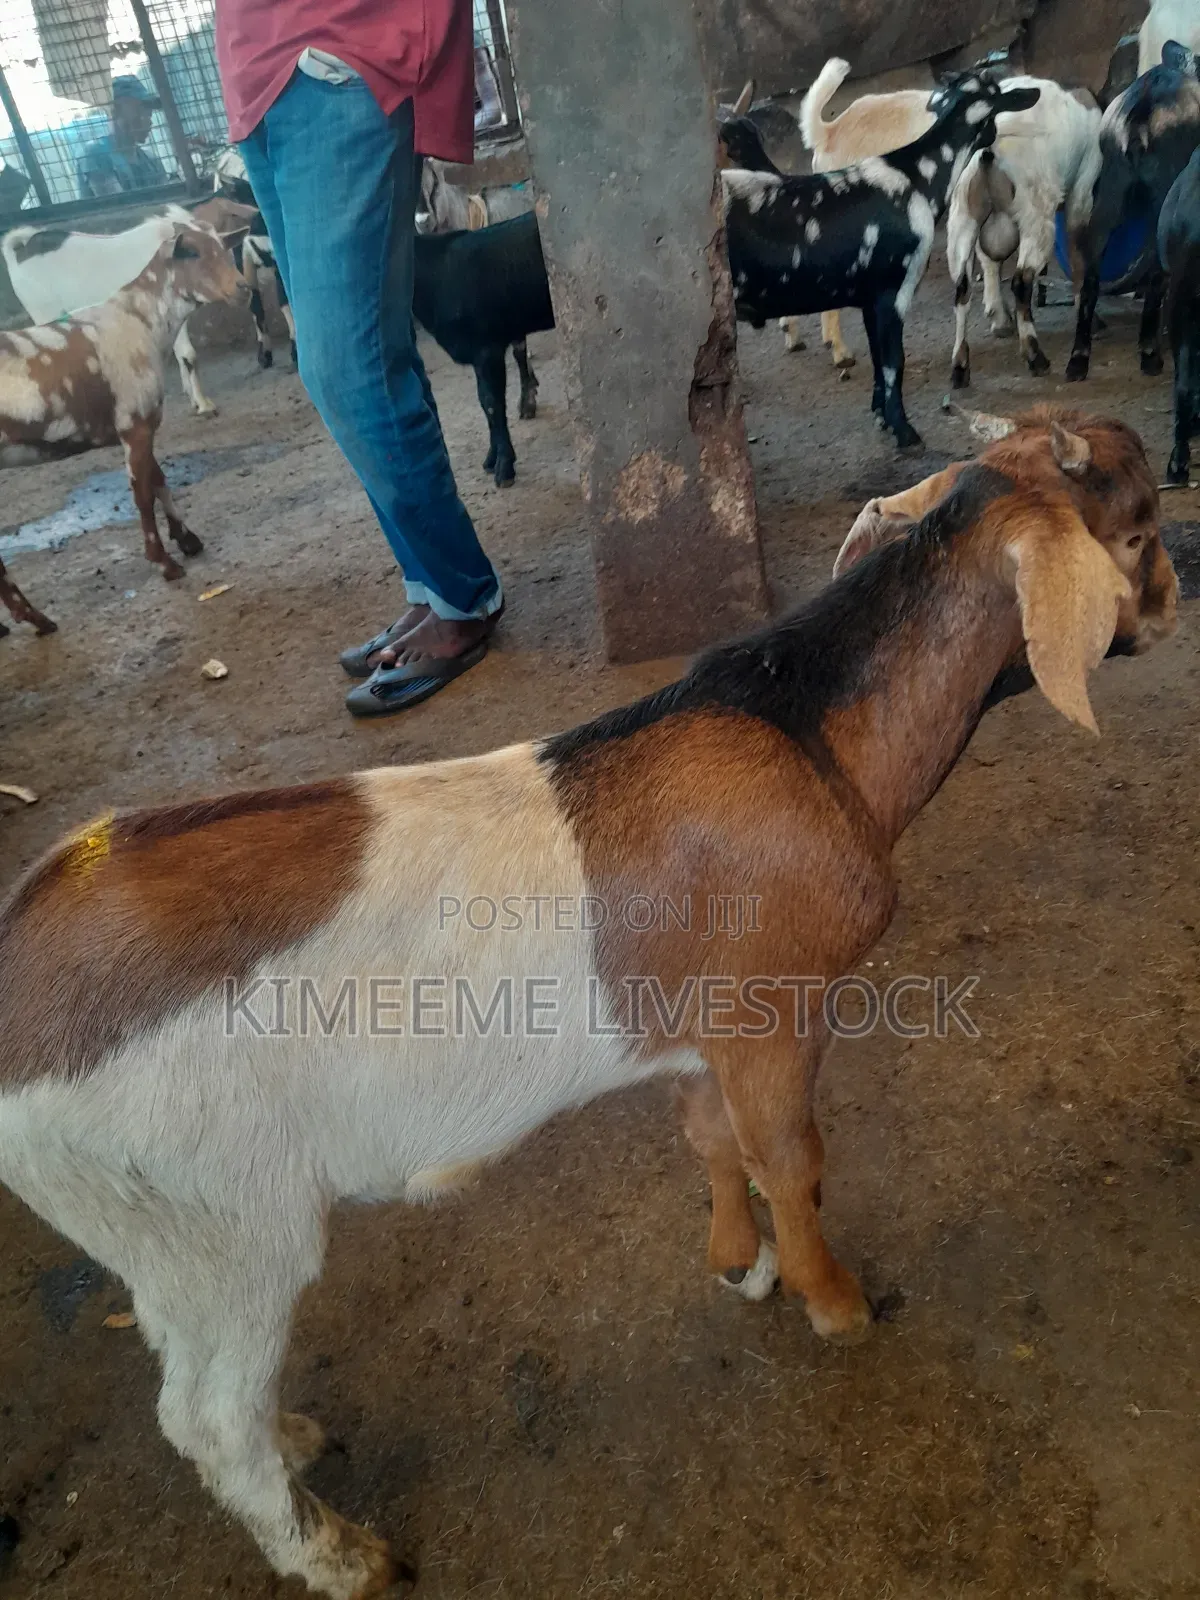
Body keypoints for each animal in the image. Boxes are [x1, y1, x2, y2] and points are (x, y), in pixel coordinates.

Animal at [0, 216, 249, 598]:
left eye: (226, 247)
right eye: (192, 252)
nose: (244, 289)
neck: (139, 318)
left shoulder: (143, 420)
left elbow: (159, 479)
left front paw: (187, 539)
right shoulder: (134, 423)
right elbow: (142, 494)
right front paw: (163, 562)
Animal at [0, 407, 1175, 1599]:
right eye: (1139, 525)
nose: (1175, 604)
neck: (807, 736)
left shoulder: (703, 1032)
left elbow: (713, 1140)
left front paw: (738, 1264)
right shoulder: (777, 1009)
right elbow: (794, 1160)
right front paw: (833, 1301)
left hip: (162, 1242)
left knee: (200, 1391)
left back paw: (296, 1442)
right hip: (226, 1226)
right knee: (205, 1415)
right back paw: (340, 1553)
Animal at [723, 71, 1041, 451]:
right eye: (996, 93)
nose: (1034, 92)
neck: (916, 177)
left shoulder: (868, 298)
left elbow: (878, 360)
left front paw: (881, 417)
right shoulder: (893, 289)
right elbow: (893, 362)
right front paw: (905, 432)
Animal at [947, 77, 1102, 386]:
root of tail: (987, 150)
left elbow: (989, 259)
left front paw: (998, 317)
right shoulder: (1082, 191)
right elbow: (1078, 257)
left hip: (962, 216)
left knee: (961, 287)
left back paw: (960, 366)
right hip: (1036, 213)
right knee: (1021, 281)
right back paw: (1035, 356)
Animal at [1066, 43, 1200, 381]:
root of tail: (1141, 113)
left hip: (1110, 192)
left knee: (1091, 275)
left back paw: (1078, 359)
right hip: (1160, 195)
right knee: (1156, 272)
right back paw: (1150, 353)